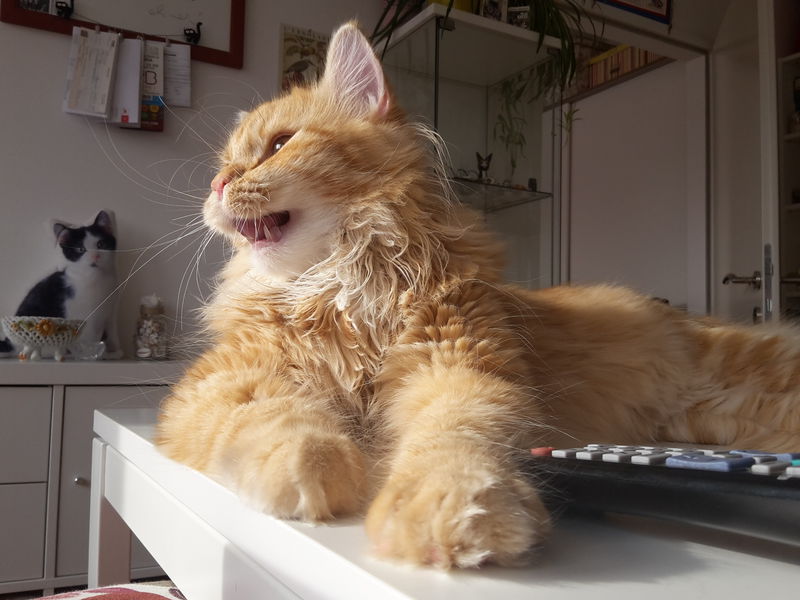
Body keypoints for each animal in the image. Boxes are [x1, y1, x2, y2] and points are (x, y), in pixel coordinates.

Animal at [0, 210, 121, 358]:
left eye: (101, 244)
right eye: (80, 249)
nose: (95, 256)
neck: (94, 278)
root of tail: (10, 344)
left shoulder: (108, 310)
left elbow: (107, 330)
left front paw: (108, 352)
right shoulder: (78, 311)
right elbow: (87, 335)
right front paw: (89, 353)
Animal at [156, 22, 800, 569]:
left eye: (278, 145)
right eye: (225, 164)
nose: (217, 184)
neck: (341, 287)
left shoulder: (460, 366)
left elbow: (455, 438)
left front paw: (451, 508)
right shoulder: (230, 379)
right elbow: (281, 417)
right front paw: (313, 466)